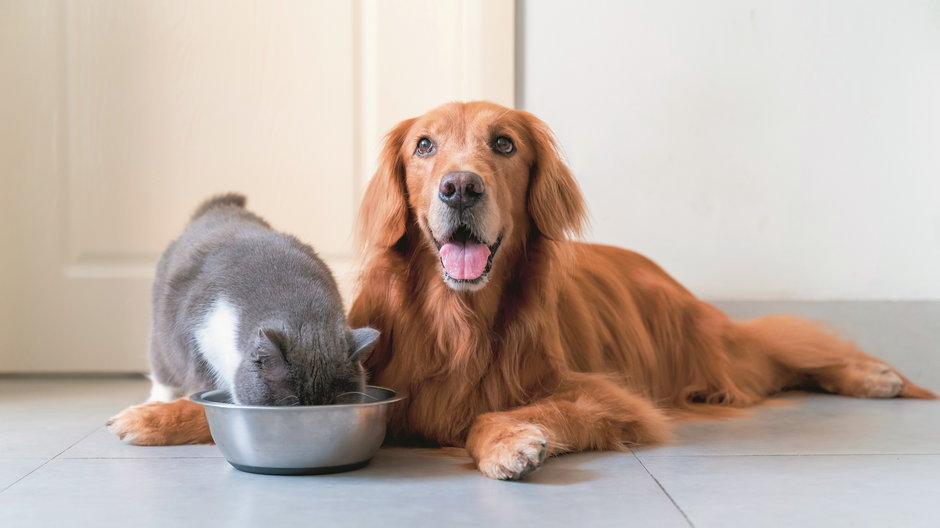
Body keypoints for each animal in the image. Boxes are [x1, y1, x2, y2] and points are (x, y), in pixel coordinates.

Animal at [147, 193, 374, 404]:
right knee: (163, 372)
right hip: (163, 338)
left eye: (333, 404)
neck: (301, 308)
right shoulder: (201, 343)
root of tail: (215, 208)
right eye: (292, 405)